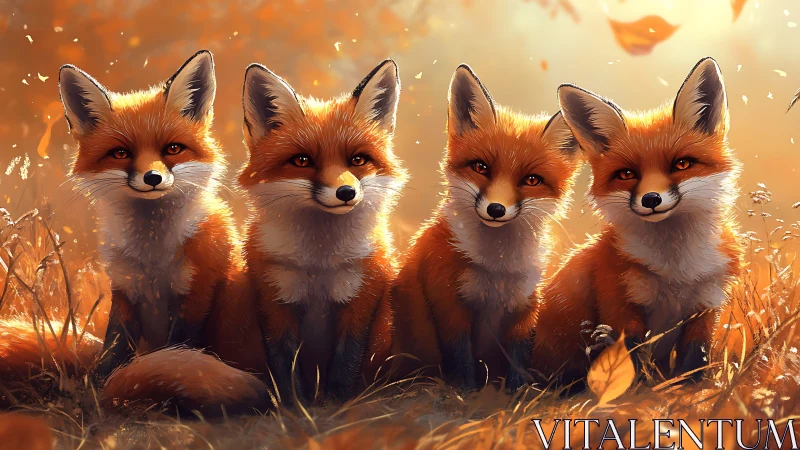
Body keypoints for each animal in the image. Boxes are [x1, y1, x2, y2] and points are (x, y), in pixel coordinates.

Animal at [52, 50, 268, 412]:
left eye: (173, 149)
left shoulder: (197, 292)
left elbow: (177, 352)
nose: (152, 178)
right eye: (121, 153)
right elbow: (113, 349)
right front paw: (95, 389)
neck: (152, 257)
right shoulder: (124, 290)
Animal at [238, 59, 407, 403]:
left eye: (358, 159)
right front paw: (292, 405)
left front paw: (338, 403)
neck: (319, 262)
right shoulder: (273, 297)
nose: (346, 192)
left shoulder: (362, 296)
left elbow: (347, 360)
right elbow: (284, 363)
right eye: (302, 160)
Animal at [391, 64, 582, 392]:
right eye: (481, 167)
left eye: (532, 180)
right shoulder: (448, 302)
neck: (497, 268)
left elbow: (518, 359)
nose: (496, 210)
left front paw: (517, 393)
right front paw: (465, 393)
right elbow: (460, 358)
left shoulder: (525, 308)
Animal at [533, 57, 742, 386]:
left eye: (682, 164)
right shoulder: (619, 301)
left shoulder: (707, 305)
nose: (651, 199)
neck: (675, 270)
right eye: (627, 174)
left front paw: (689, 390)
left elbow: (693, 366)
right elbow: (630, 363)